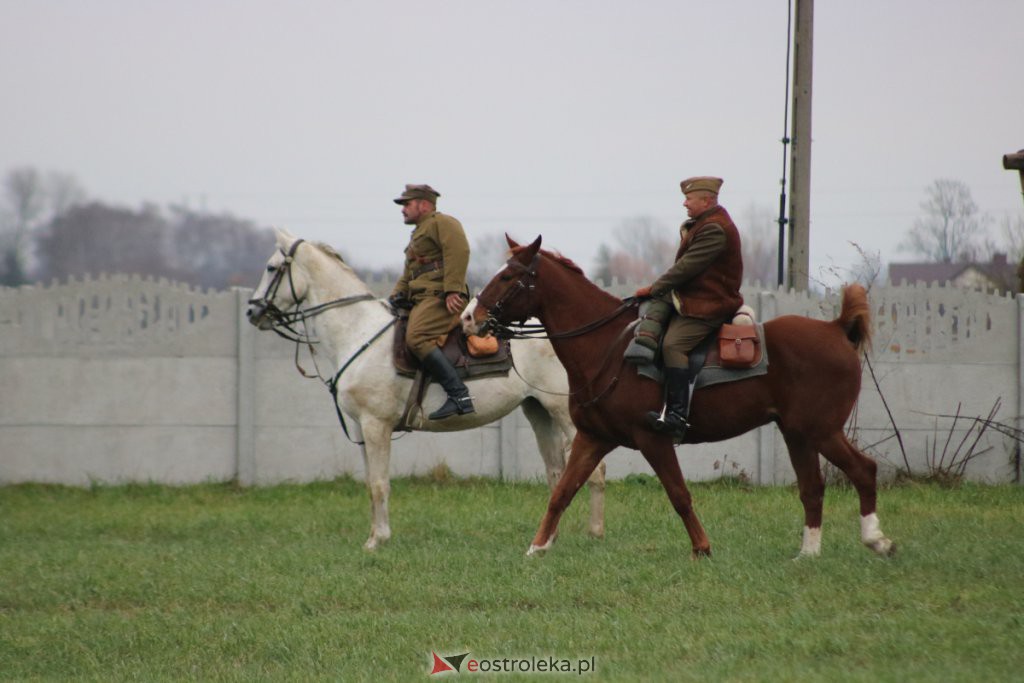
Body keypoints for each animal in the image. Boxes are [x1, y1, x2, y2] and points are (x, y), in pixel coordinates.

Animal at [243, 229, 602, 548]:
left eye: (271, 268)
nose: (252, 311)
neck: (360, 332)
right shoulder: (362, 428)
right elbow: (369, 483)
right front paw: (374, 535)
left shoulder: (376, 425)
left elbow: (379, 483)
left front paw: (378, 540)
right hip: (539, 412)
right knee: (556, 474)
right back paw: (550, 537)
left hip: (565, 415)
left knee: (593, 471)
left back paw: (594, 533)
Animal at [460, 237, 892, 557]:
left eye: (509, 276)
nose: (468, 318)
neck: (608, 348)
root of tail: (836, 329)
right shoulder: (592, 438)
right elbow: (563, 491)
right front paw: (538, 547)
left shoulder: (654, 439)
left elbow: (679, 494)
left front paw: (702, 548)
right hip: (797, 434)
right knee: (812, 488)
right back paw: (808, 552)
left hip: (821, 431)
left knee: (863, 470)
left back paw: (876, 539)